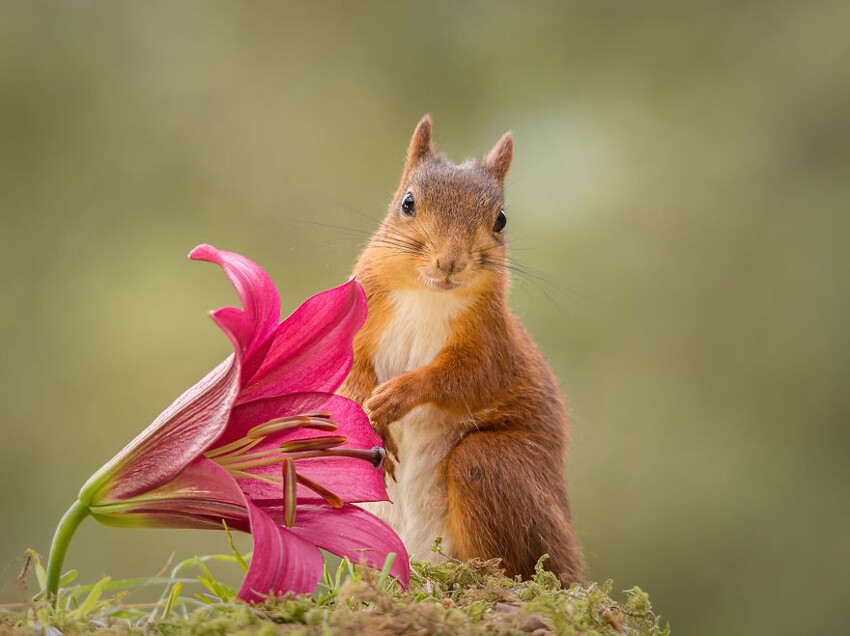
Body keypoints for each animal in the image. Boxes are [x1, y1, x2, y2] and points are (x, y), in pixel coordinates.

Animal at [338, 117, 584, 584]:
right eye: (408, 203)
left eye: (501, 220)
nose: (449, 262)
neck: (426, 295)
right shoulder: (356, 315)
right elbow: (347, 370)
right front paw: (369, 410)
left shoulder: (492, 343)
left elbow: (467, 380)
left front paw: (399, 395)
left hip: (494, 468)